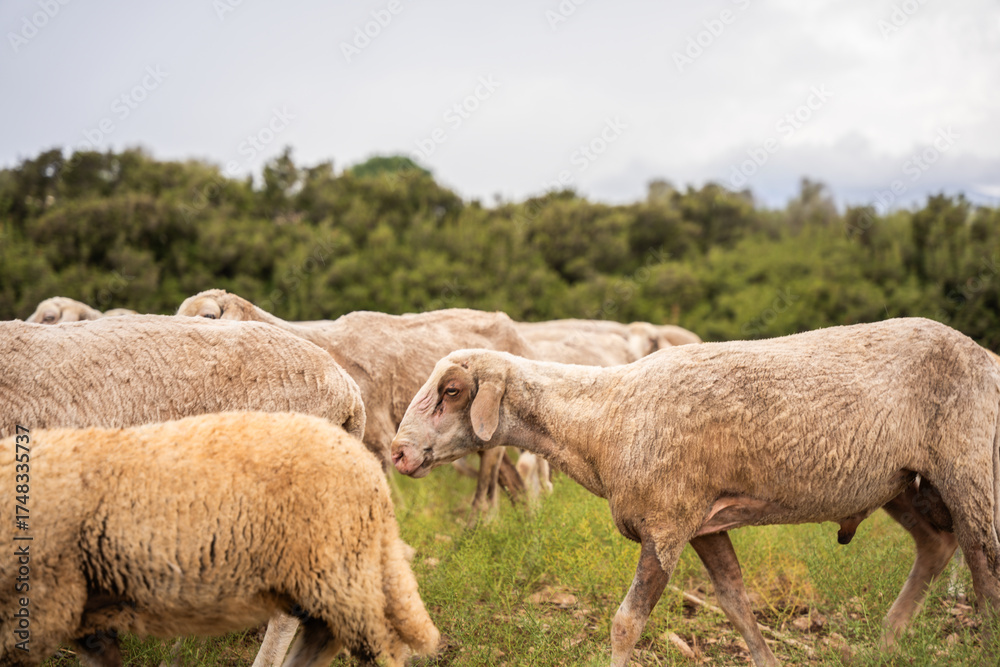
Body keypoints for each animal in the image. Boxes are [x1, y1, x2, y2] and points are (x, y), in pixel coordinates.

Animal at [390, 318, 1000, 667]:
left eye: (451, 391)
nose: (397, 453)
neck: (603, 420)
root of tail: (984, 354)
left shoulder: (667, 523)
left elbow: (626, 622)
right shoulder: (706, 523)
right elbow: (735, 603)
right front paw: (767, 660)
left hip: (967, 468)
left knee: (983, 563)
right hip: (906, 482)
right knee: (936, 546)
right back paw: (887, 643)